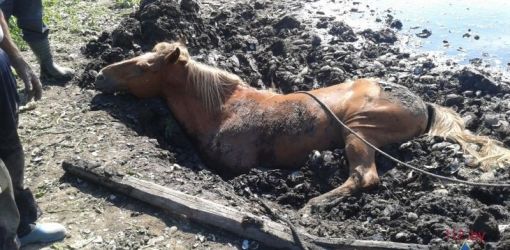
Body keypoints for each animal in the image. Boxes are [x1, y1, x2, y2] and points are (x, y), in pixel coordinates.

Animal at [94, 41, 510, 209]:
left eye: (143, 67)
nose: (100, 75)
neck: (225, 108)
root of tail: (422, 102)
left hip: (359, 132)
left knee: (364, 178)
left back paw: (315, 203)